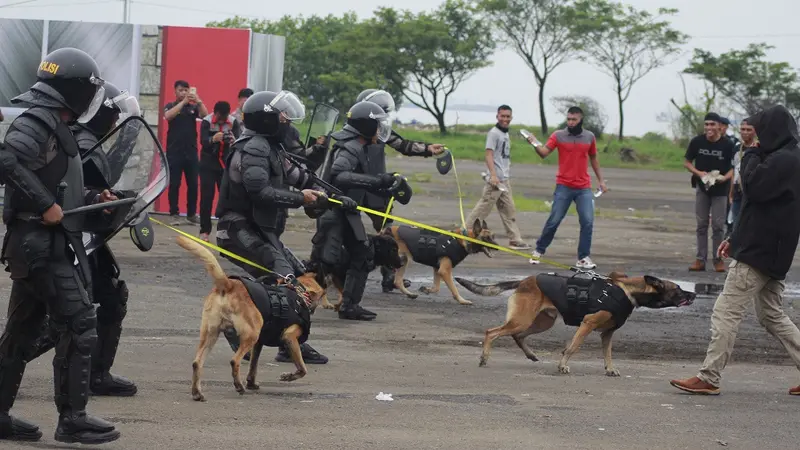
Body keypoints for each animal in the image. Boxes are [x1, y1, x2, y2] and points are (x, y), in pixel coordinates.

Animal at [175, 236, 324, 400]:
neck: (298, 292)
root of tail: (228, 285)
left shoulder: (259, 343)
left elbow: (253, 365)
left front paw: (251, 383)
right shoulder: (289, 337)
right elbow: (302, 369)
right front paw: (289, 376)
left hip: (211, 335)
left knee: (197, 363)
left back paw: (197, 393)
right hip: (250, 334)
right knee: (234, 361)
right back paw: (238, 386)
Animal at [456, 272, 692, 374]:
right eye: (678, 289)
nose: (694, 294)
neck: (627, 291)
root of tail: (524, 281)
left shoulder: (607, 334)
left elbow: (608, 354)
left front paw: (610, 369)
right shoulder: (587, 324)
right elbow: (573, 347)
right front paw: (562, 365)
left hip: (541, 322)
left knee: (517, 335)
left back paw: (530, 354)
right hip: (523, 320)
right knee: (492, 332)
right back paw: (484, 358)